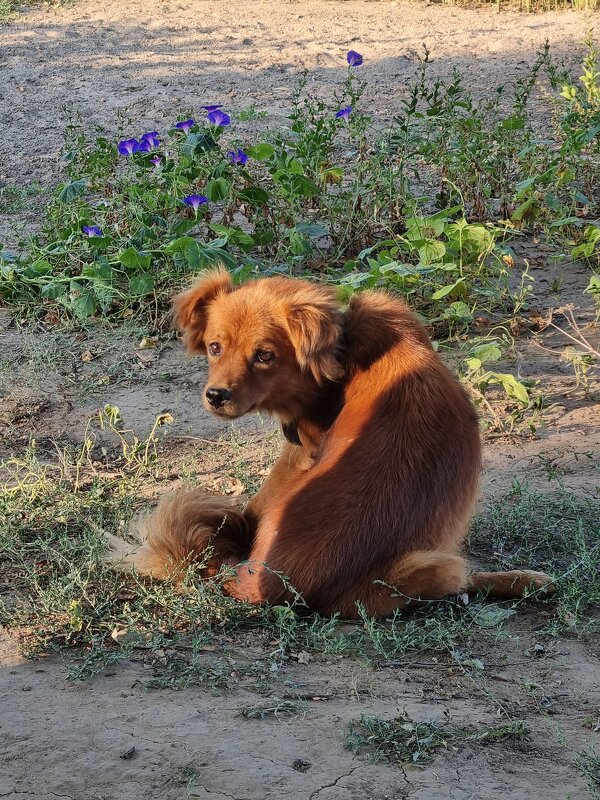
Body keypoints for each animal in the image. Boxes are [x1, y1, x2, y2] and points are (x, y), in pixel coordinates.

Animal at [105, 270, 556, 620]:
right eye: (215, 348)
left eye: (264, 355)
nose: (215, 395)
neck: (346, 354)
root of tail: (258, 584)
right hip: (432, 564)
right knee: (463, 579)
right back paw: (527, 580)